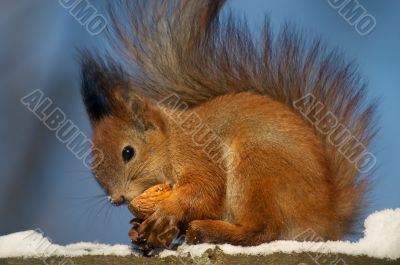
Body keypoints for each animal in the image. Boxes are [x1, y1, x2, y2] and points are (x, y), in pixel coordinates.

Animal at [79, 0, 376, 248]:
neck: (171, 141)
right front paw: (140, 228)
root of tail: (326, 219)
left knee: (263, 231)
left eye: (128, 152)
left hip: (257, 165)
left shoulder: (197, 153)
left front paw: (167, 211)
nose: (117, 199)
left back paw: (208, 232)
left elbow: (206, 189)